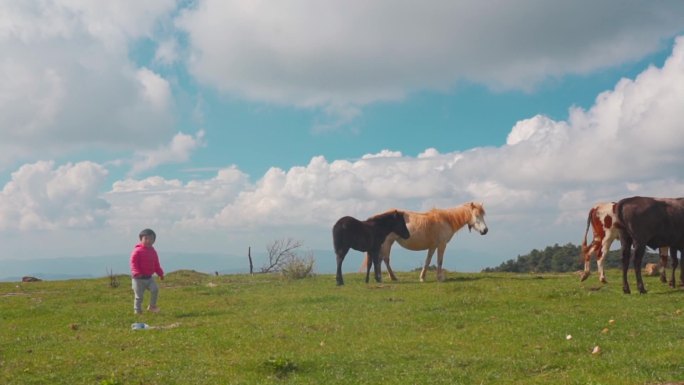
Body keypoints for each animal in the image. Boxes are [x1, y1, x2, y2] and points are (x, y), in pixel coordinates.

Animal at [360, 201, 488, 282]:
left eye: (483, 215)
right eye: (476, 215)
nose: (485, 230)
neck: (446, 220)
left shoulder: (433, 246)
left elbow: (428, 261)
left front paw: (422, 277)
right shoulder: (442, 245)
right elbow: (440, 261)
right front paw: (440, 278)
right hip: (387, 243)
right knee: (383, 259)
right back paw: (387, 277)